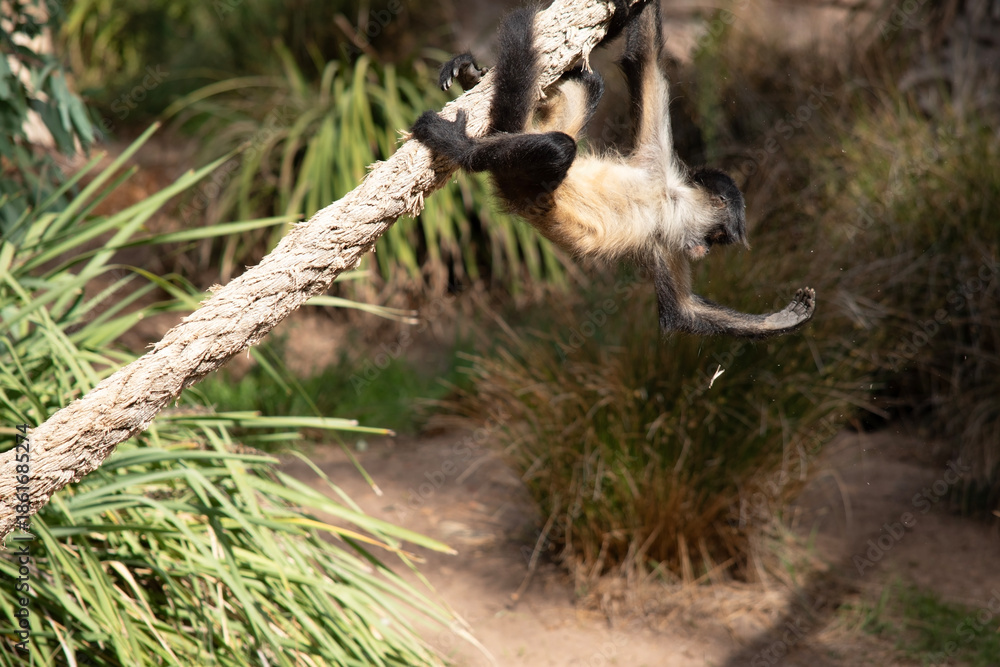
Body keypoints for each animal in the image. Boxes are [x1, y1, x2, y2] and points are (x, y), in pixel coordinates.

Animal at [411, 0, 816, 339]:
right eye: (716, 237)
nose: (704, 251)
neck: (667, 199)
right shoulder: (658, 170)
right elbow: (644, 57)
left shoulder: (662, 229)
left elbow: (682, 312)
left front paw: (786, 318)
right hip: (522, 178)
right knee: (559, 147)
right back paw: (458, 145)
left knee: (588, 85)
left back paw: (473, 82)